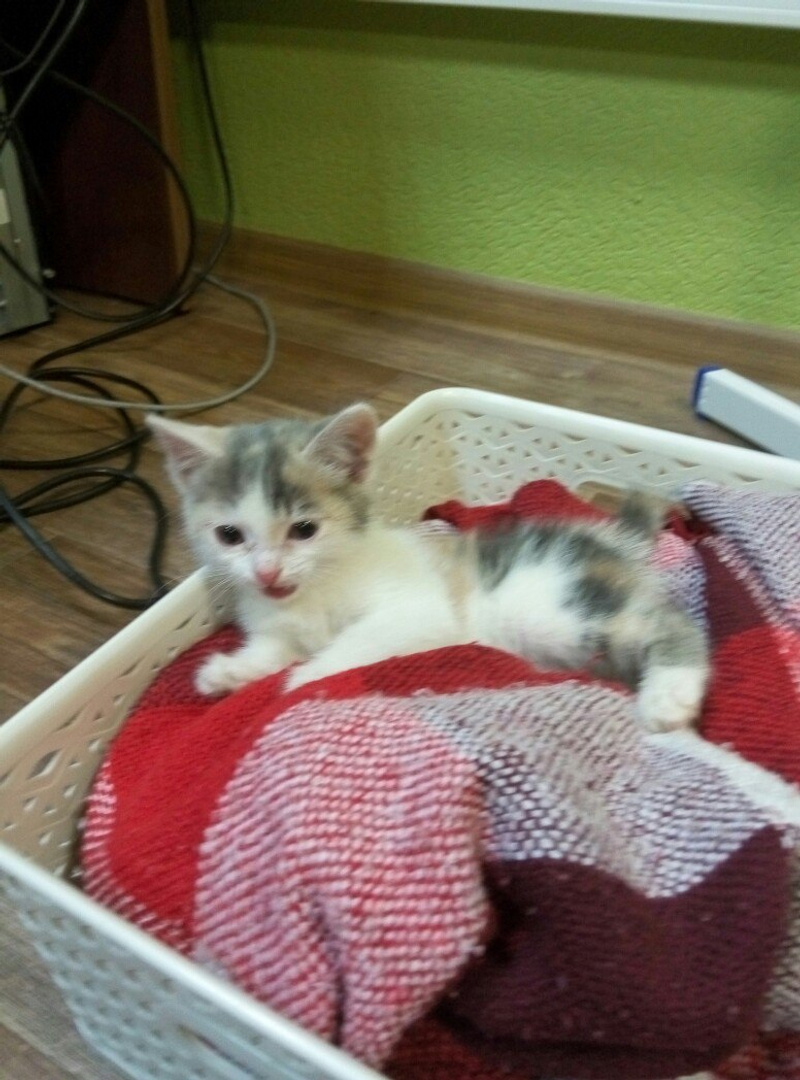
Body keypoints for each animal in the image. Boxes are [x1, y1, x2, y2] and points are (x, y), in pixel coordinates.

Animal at [147, 403, 709, 732]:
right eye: (229, 535)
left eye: (304, 530)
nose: (265, 574)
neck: (316, 590)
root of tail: (604, 538)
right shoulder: (278, 624)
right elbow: (271, 649)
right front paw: (229, 672)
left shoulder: (415, 613)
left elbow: (351, 647)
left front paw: (299, 683)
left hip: (552, 607)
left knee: (674, 623)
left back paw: (669, 697)